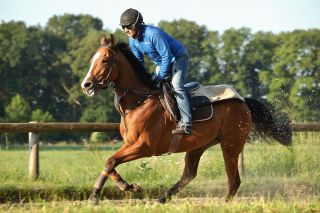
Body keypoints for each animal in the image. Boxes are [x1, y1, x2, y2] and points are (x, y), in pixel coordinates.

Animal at [80, 34, 292, 204]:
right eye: (92, 59)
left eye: (105, 60)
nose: (86, 84)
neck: (139, 101)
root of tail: (243, 102)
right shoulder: (130, 143)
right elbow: (109, 163)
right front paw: (99, 194)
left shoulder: (144, 146)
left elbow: (111, 160)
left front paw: (125, 188)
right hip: (199, 145)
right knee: (189, 174)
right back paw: (162, 198)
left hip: (231, 144)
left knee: (234, 179)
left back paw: (224, 203)